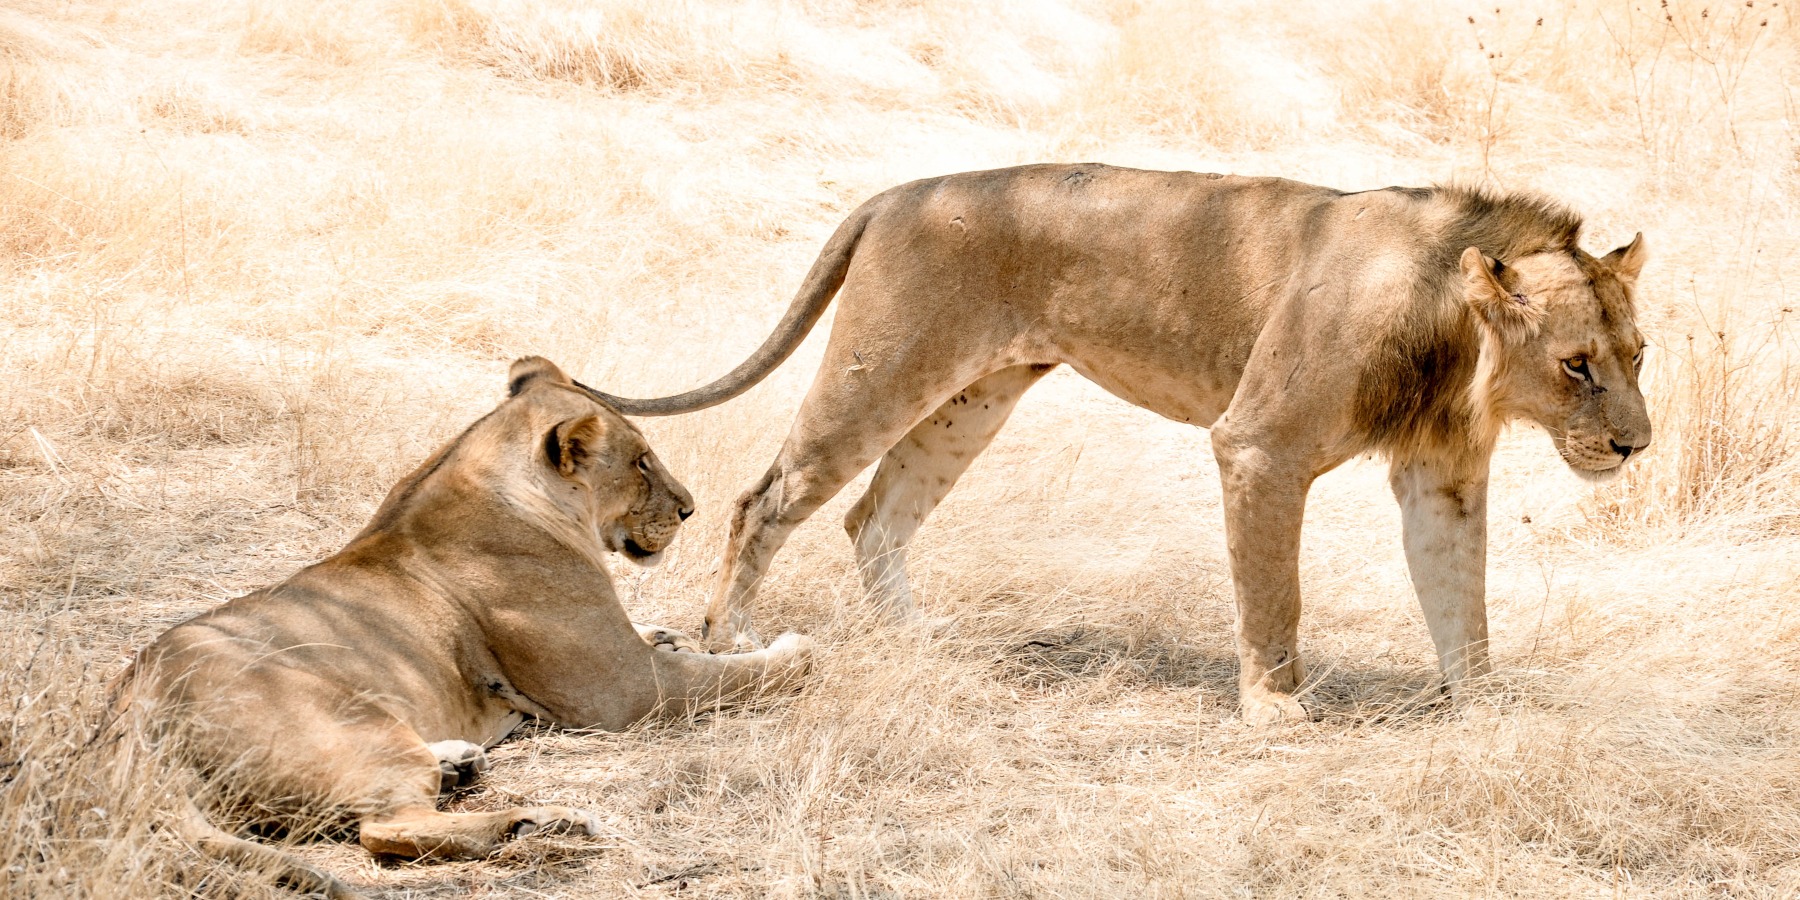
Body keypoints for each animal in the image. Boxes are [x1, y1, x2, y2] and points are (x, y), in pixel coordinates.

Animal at [108, 357, 814, 899]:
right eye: (641, 462)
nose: (690, 509)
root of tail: (130, 704)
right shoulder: (624, 690)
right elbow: (742, 675)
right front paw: (790, 647)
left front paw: (666, 628)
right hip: (359, 726)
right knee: (384, 829)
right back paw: (538, 823)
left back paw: (461, 765)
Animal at [576, 164, 1651, 725]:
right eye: (1578, 366)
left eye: (1637, 356)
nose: (1637, 446)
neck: (1454, 343)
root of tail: (898, 190)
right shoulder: (1258, 446)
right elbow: (1275, 597)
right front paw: (1275, 712)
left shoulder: (1445, 476)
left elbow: (1462, 602)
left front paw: (1485, 708)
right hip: (879, 377)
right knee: (765, 500)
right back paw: (730, 640)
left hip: (973, 399)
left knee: (874, 515)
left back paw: (916, 638)